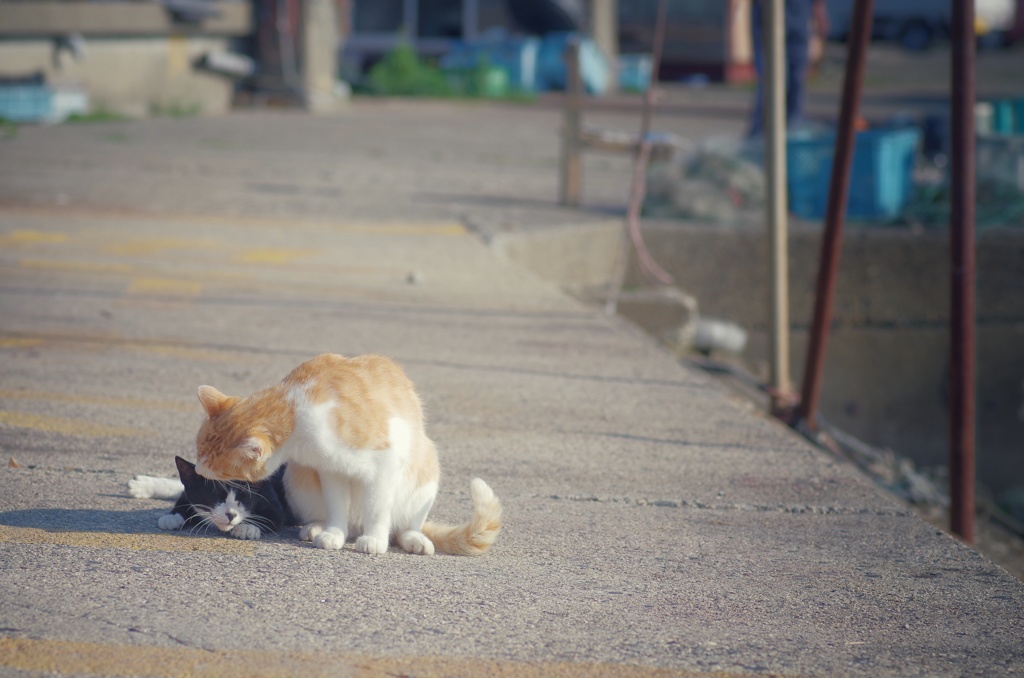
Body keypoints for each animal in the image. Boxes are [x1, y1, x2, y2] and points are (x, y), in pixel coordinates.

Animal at [127, 456, 294, 540]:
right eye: (217, 496)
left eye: (242, 498)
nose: (230, 515)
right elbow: (186, 494)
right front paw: (173, 516)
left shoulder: (270, 497)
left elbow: (275, 517)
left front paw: (247, 527)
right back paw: (141, 485)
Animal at [192, 352, 499, 557]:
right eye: (199, 451)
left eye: (216, 466)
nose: (196, 470)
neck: (296, 408)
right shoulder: (330, 469)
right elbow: (336, 504)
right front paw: (333, 533)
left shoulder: (385, 463)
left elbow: (377, 508)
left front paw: (374, 539)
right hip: (298, 479)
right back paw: (318, 528)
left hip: (426, 470)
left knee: (405, 526)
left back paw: (413, 539)